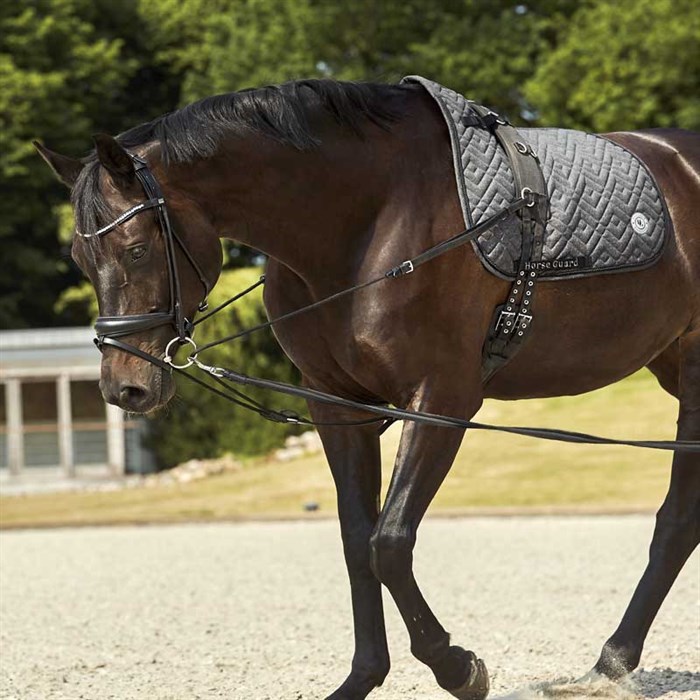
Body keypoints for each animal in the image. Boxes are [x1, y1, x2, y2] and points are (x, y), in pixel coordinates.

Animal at [35, 79, 696, 696]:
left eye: (135, 249)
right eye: (80, 259)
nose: (125, 388)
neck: (368, 221)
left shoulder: (443, 399)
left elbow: (390, 542)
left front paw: (459, 667)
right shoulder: (338, 406)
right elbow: (357, 543)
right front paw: (364, 677)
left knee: (674, 520)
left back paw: (611, 660)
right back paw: (613, 662)